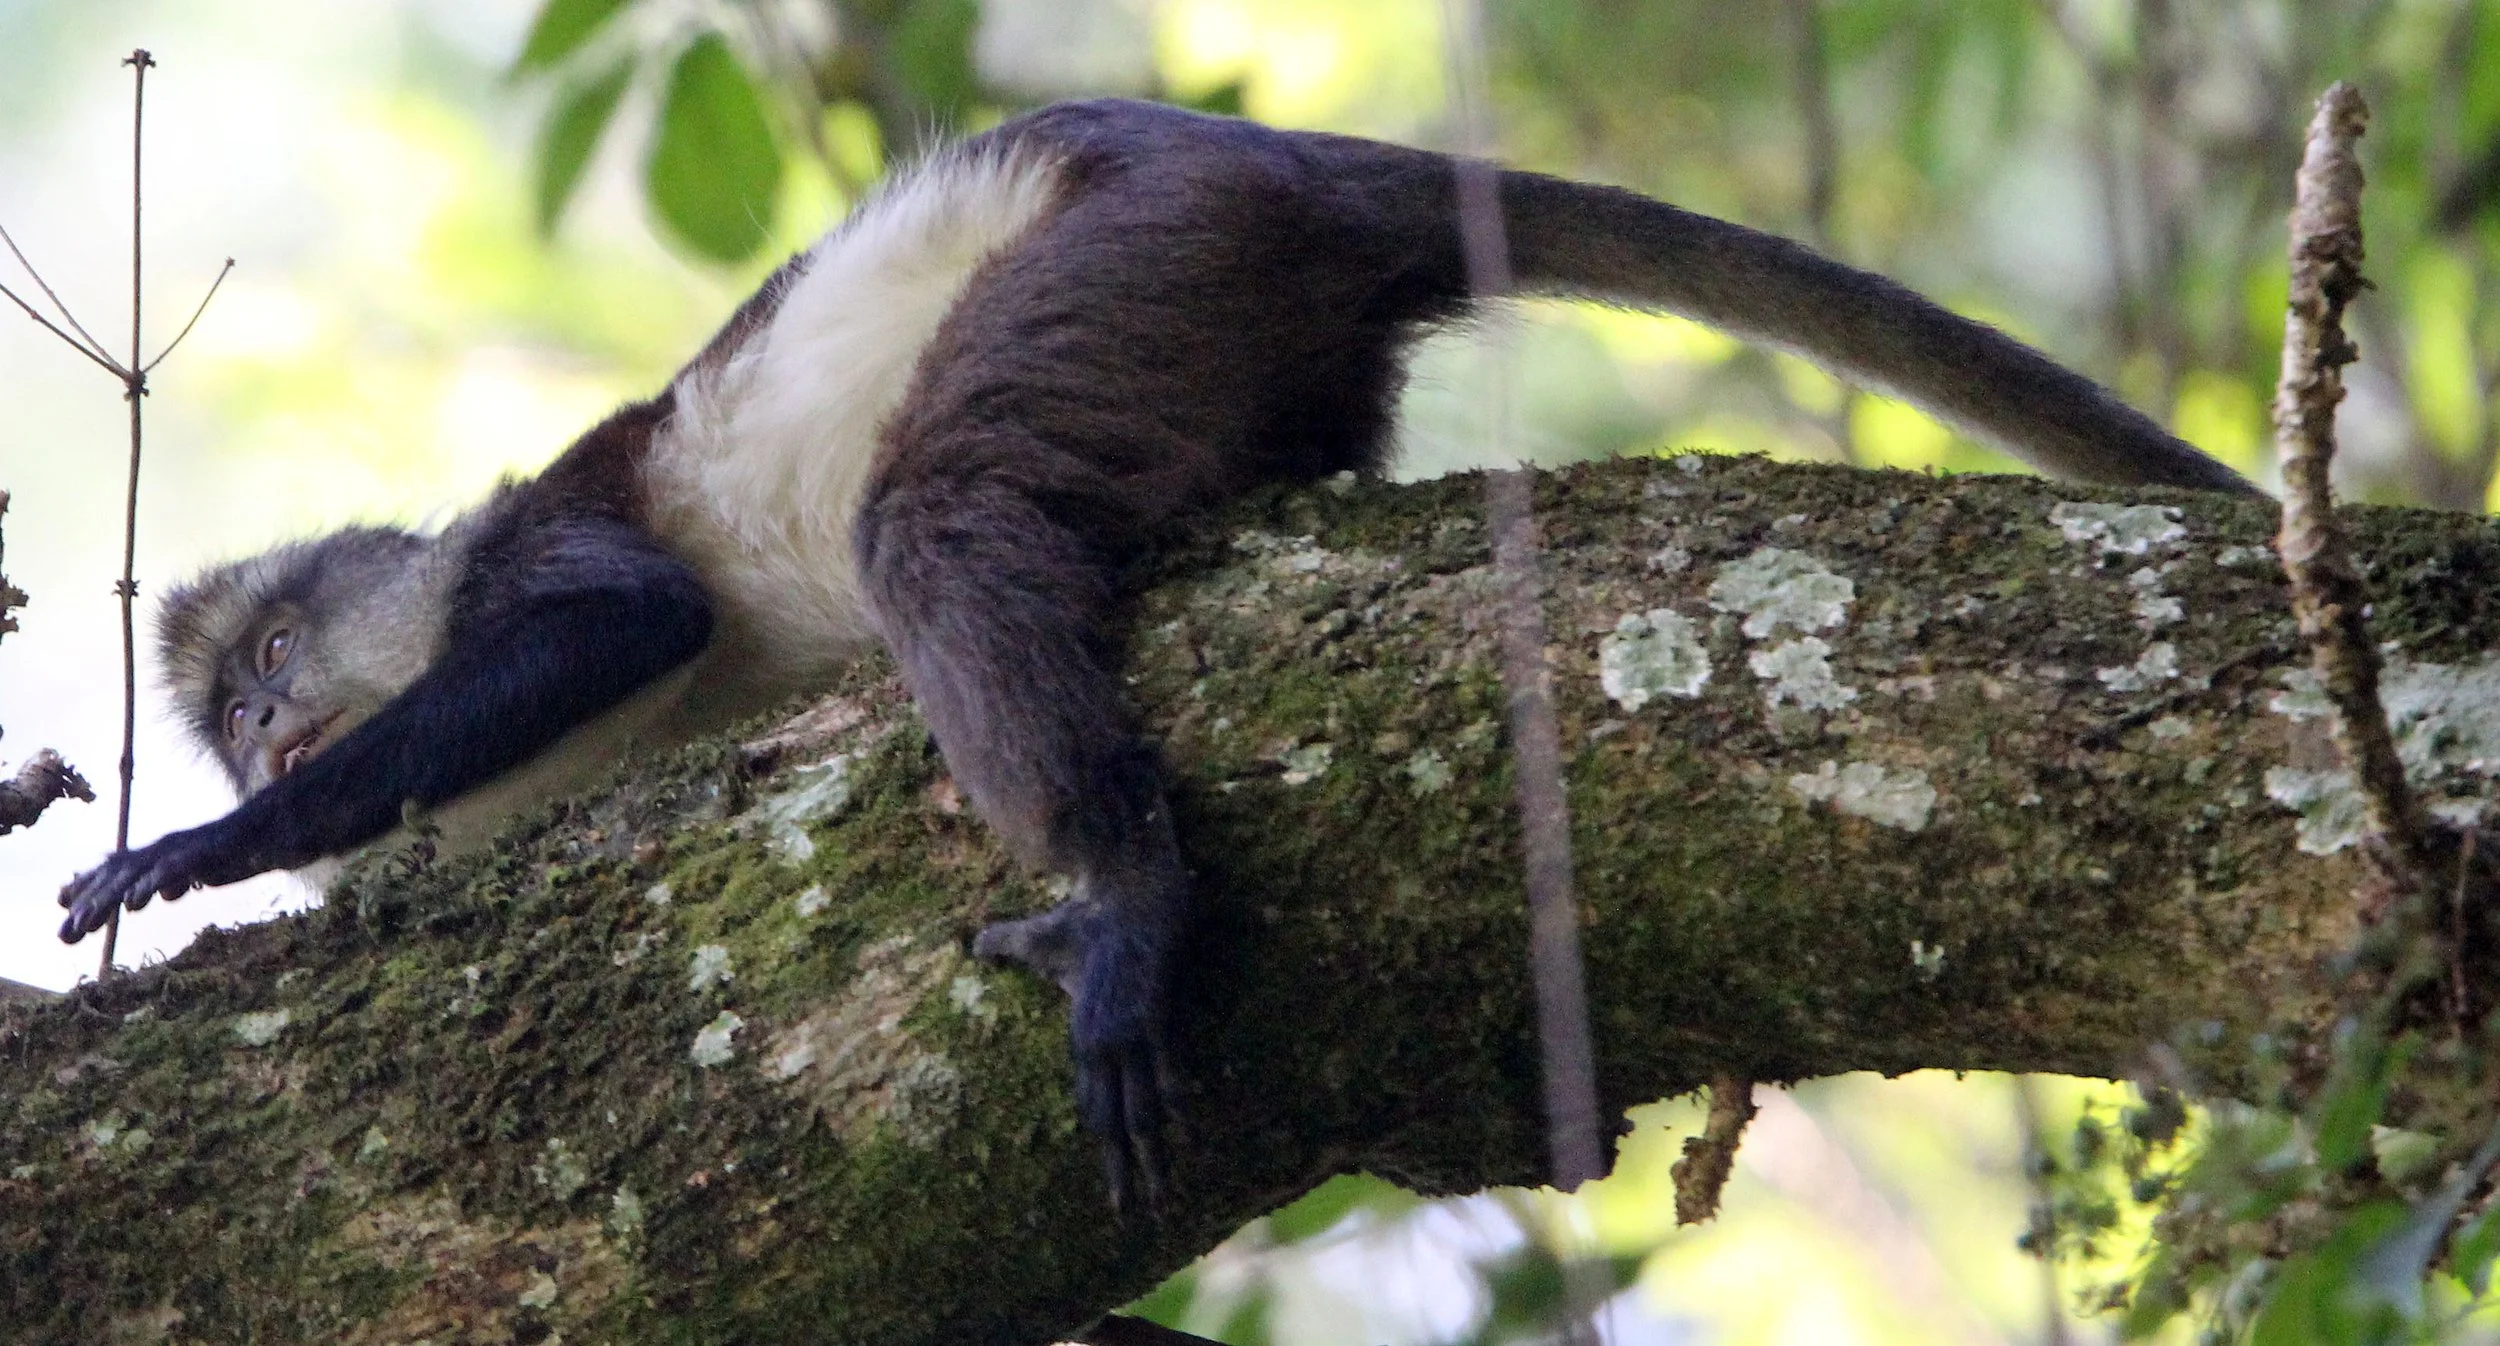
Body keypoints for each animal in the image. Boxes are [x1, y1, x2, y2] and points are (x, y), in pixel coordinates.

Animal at [56, 99, 2257, 1207]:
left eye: (266, 671)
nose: (266, 742)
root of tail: (1291, 160)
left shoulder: (544, 549)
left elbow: (633, 617)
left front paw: (187, 863)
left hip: (1148, 240)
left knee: (933, 514)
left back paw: (1122, 890)